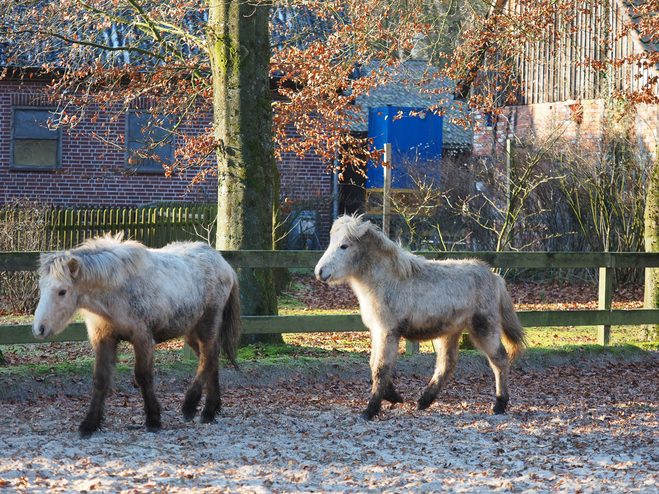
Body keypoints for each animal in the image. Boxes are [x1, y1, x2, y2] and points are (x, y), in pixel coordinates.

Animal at [314, 216, 524, 420]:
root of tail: (494, 277)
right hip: (450, 332)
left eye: (344, 245)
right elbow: (374, 364)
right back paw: (424, 401)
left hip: (484, 329)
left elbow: (380, 368)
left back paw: (499, 404)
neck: (386, 280)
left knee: (500, 360)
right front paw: (394, 396)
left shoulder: (388, 331)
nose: (320, 272)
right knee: (447, 364)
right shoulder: (377, 331)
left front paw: (370, 410)